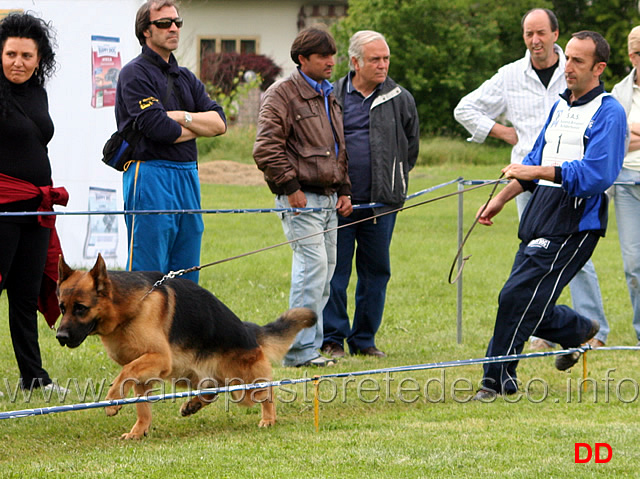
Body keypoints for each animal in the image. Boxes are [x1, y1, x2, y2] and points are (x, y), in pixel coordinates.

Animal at [55, 255, 316, 438]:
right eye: (61, 307)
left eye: (81, 308)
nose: (60, 336)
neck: (130, 308)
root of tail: (248, 331)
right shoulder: (145, 373)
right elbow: (141, 405)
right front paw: (139, 431)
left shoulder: (159, 358)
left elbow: (124, 372)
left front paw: (112, 400)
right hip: (190, 374)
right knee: (212, 389)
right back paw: (193, 404)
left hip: (243, 386)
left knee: (266, 391)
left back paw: (269, 418)